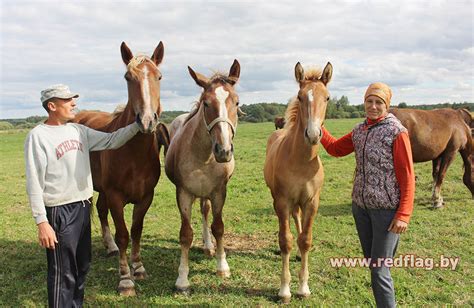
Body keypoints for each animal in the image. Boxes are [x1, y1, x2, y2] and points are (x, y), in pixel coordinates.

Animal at [72, 41, 165, 296]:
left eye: (159, 76)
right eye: (127, 77)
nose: (147, 121)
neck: (134, 153)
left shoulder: (146, 197)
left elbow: (136, 231)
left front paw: (139, 268)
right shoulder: (115, 196)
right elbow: (123, 234)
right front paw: (125, 279)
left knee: (101, 211)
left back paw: (110, 247)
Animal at [166, 60, 241, 294]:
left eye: (237, 102)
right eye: (206, 104)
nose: (224, 151)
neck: (204, 156)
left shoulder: (218, 192)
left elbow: (218, 227)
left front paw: (222, 266)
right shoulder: (183, 193)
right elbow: (185, 234)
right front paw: (182, 279)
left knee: (205, 212)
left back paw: (208, 247)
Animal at [262, 61, 334, 302]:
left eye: (327, 97)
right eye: (301, 97)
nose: (312, 134)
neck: (302, 162)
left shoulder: (312, 201)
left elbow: (305, 239)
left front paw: (303, 287)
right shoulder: (282, 201)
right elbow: (286, 240)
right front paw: (284, 290)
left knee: (299, 221)